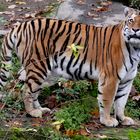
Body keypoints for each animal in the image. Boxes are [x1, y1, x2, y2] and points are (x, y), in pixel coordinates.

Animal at [0, 7, 140, 127]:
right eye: (131, 20)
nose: (135, 30)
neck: (135, 49)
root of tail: (21, 25)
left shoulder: (127, 80)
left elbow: (121, 101)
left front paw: (122, 119)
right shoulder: (110, 78)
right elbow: (107, 100)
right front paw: (107, 121)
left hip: (48, 74)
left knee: (33, 91)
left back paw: (41, 109)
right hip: (38, 66)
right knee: (26, 90)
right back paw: (32, 113)